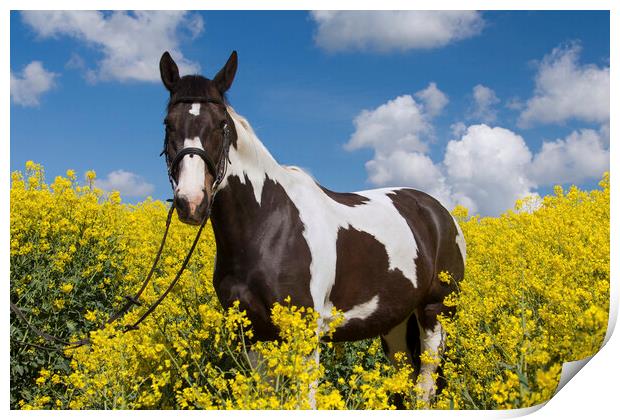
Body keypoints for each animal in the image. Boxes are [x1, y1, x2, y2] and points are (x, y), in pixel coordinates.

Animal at [160, 50, 464, 406]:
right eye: (168, 124)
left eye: (222, 125)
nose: (191, 202)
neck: (267, 225)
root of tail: (439, 212)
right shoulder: (252, 334)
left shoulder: (304, 332)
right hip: (396, 323)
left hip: (436, 310)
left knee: (424, 387)